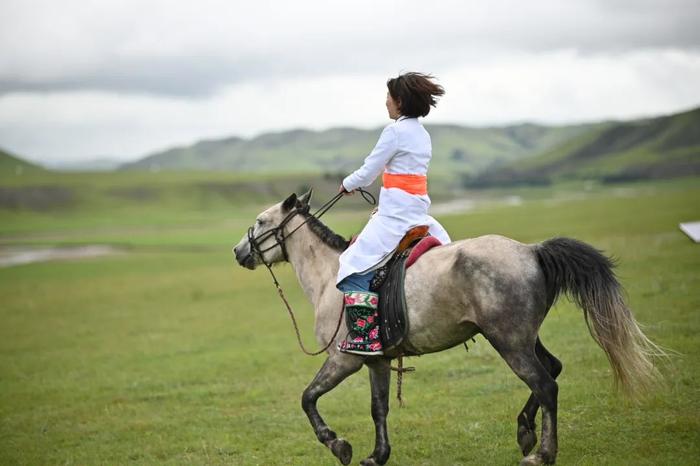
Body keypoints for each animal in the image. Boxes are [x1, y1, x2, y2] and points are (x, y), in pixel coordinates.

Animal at [234, 190, 660, 466]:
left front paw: (339, 445)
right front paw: (377, 455)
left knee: (545, 384)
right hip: (523, 338)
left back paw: (542, 453)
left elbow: (308, 398)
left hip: (509, 342)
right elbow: (378, 408)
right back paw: (525, 432)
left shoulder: (345, 359)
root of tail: (531, 251)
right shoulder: (376, 360)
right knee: (552, 370)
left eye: (260, 221)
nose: (239, 251)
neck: (330, 277)